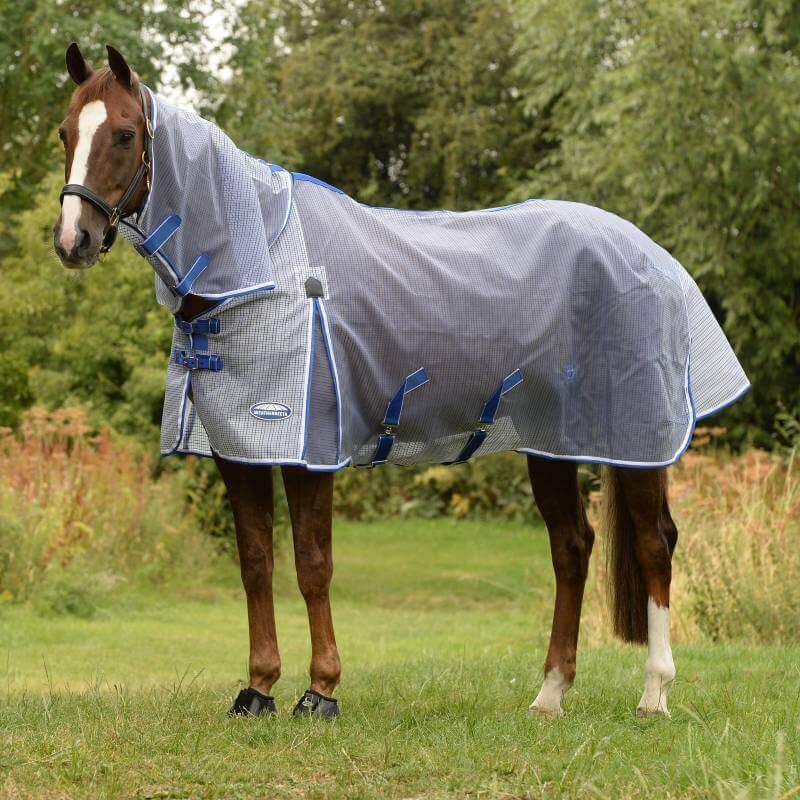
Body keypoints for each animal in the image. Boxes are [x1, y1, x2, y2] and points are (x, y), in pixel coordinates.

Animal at [52, 43, 747, 719]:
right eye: (65, 132)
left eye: (123, 134)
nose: (72, 240)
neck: (261, 265)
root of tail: (652, 255)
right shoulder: (238, 448)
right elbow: (255, 563)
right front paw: (257, 690)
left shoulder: (312, 451)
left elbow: (312, 565)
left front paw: (321, 692)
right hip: (553, 443)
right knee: (572, 547)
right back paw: (549, 695)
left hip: (637, 438)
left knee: (655, 544)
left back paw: (653, 694)